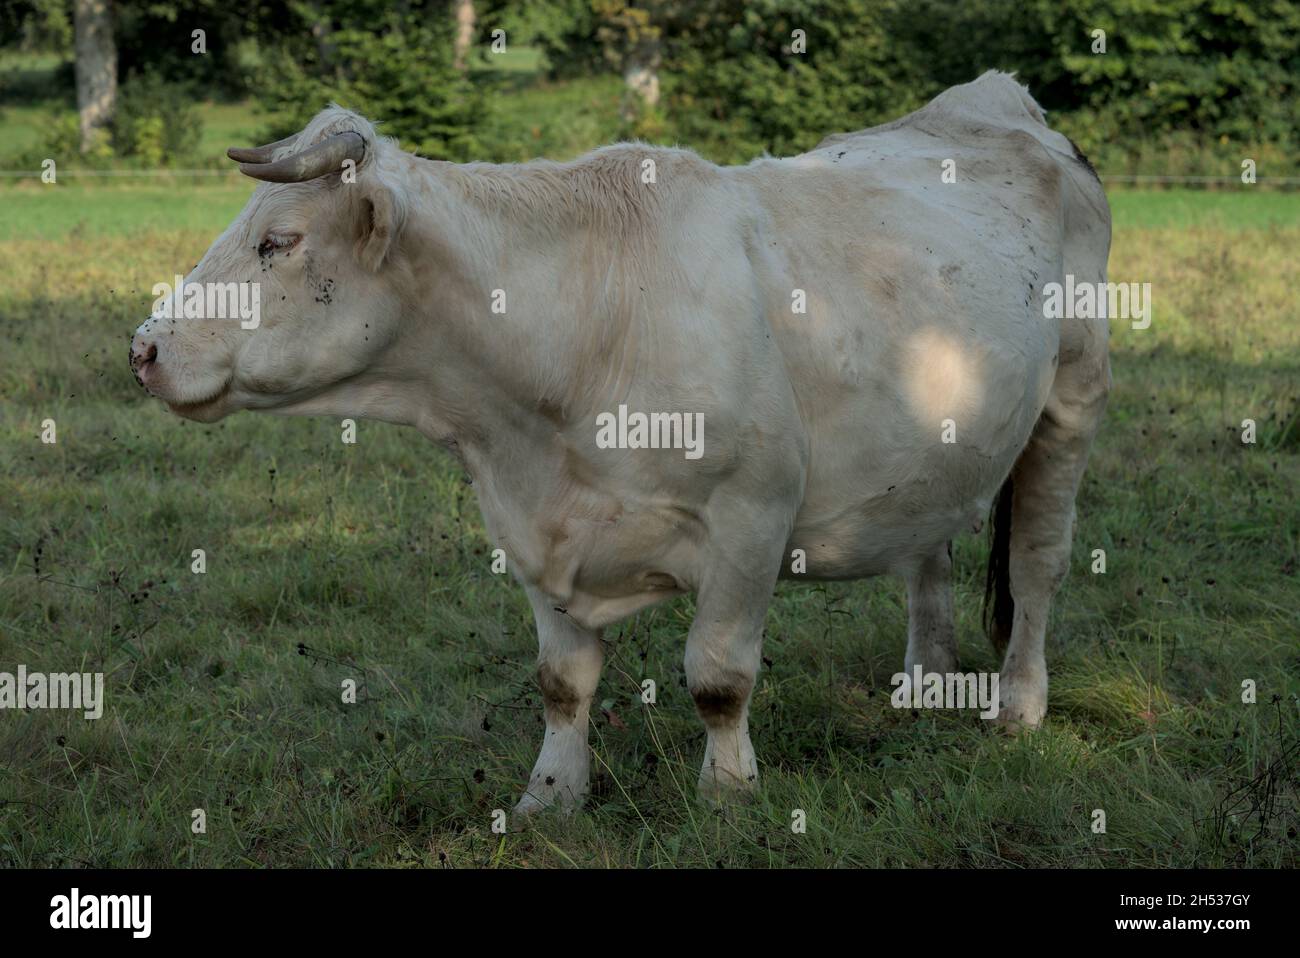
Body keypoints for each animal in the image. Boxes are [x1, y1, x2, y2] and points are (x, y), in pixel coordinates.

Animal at [130, 71, 1111, 814]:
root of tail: (1002, 98)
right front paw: (551, 796)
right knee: (927, 556)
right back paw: (922, 684)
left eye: (278, 240)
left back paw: (1019, 705)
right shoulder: (529, 522)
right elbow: (562, 679)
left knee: (1037, 564)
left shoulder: (753, 513)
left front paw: (727, 794)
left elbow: (718, 675)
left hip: (1072, 400)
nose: (143, 349)